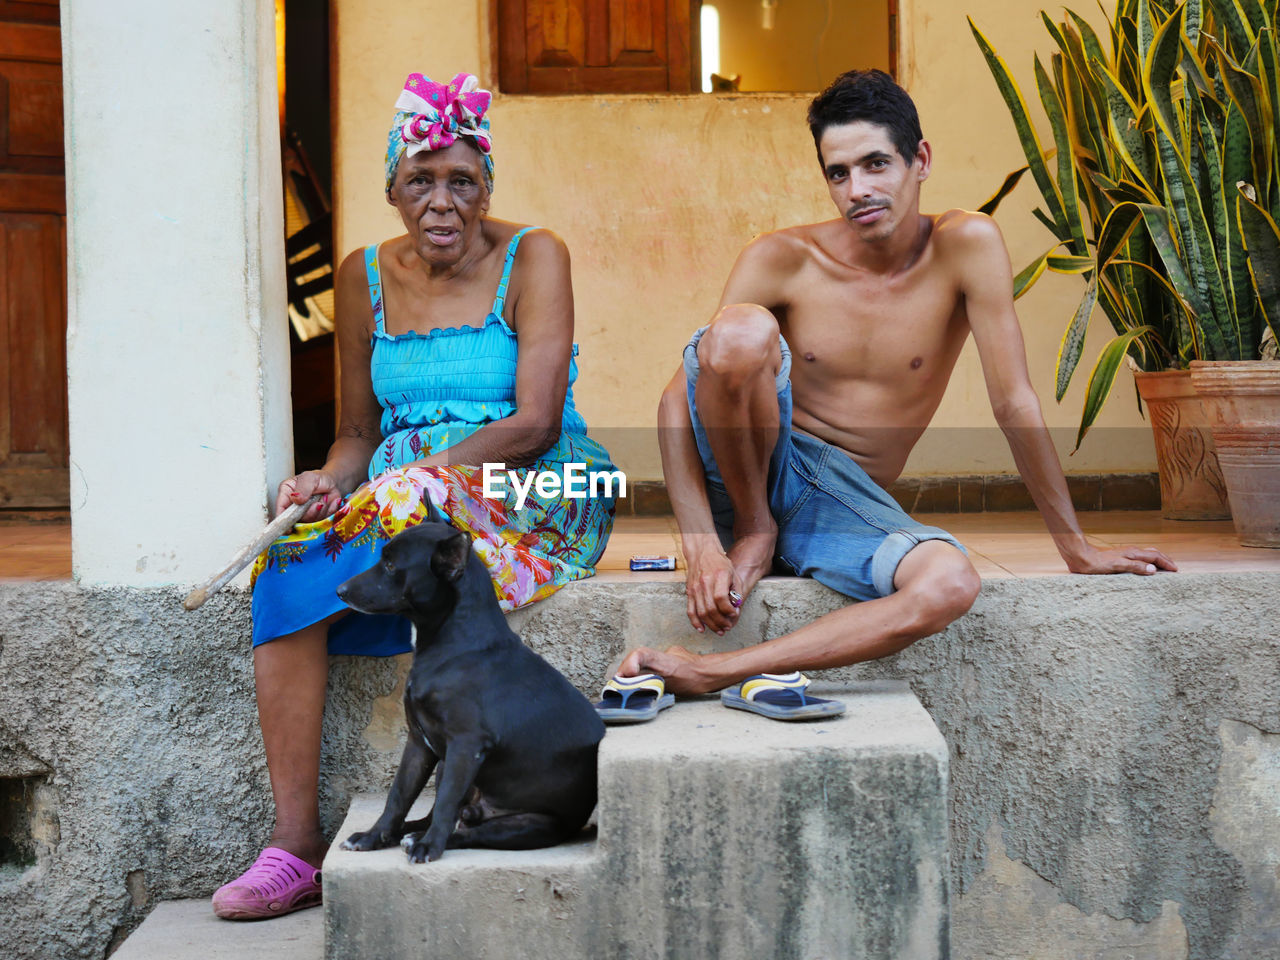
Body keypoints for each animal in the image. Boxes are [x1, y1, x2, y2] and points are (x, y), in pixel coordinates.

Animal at [335, 522, 604, 870]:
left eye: (392, 565)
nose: (339, 590)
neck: (455, 643)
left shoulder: (465, 746)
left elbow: (446, 802)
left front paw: (429, 847)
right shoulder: (419, 744)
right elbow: (398, 796)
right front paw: (373, 837)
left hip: (528, 825)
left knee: (466, 830)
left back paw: (423, 840)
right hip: (443, 766)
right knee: (437, 816)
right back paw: (406, 834)